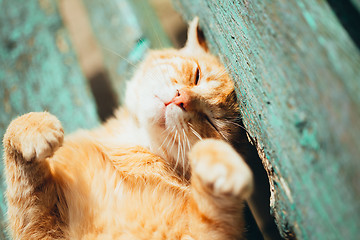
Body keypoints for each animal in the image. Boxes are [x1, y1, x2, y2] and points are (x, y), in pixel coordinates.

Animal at [2, 17, 253, 239]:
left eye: (212, 123)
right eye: (197, 75)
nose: (182, 99)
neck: (132, 141)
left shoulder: (200, 233)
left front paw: (219, 162)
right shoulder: (37, 227)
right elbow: (14, 150)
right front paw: (35, 127)